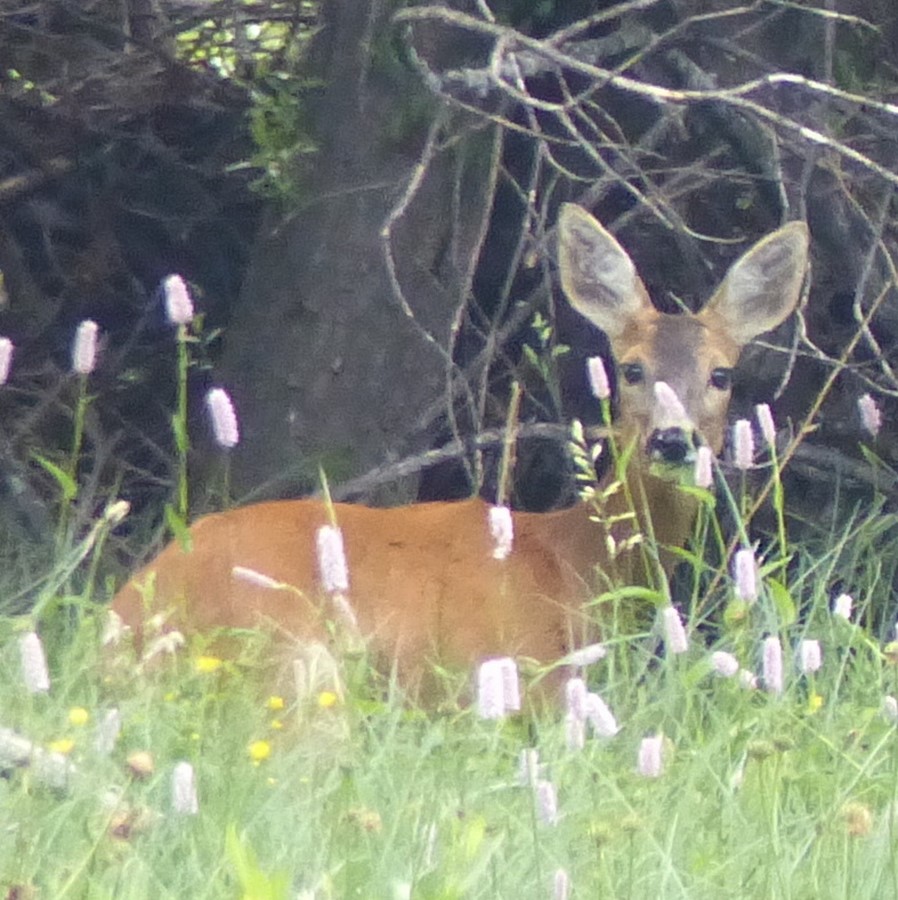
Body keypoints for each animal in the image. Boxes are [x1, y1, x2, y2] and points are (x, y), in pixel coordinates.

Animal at [108, 206, 808, 704]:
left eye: (721, 375)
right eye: (631, 369)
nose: (672, 438)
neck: (575, 563)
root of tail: (124, 624)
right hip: (302, 668)